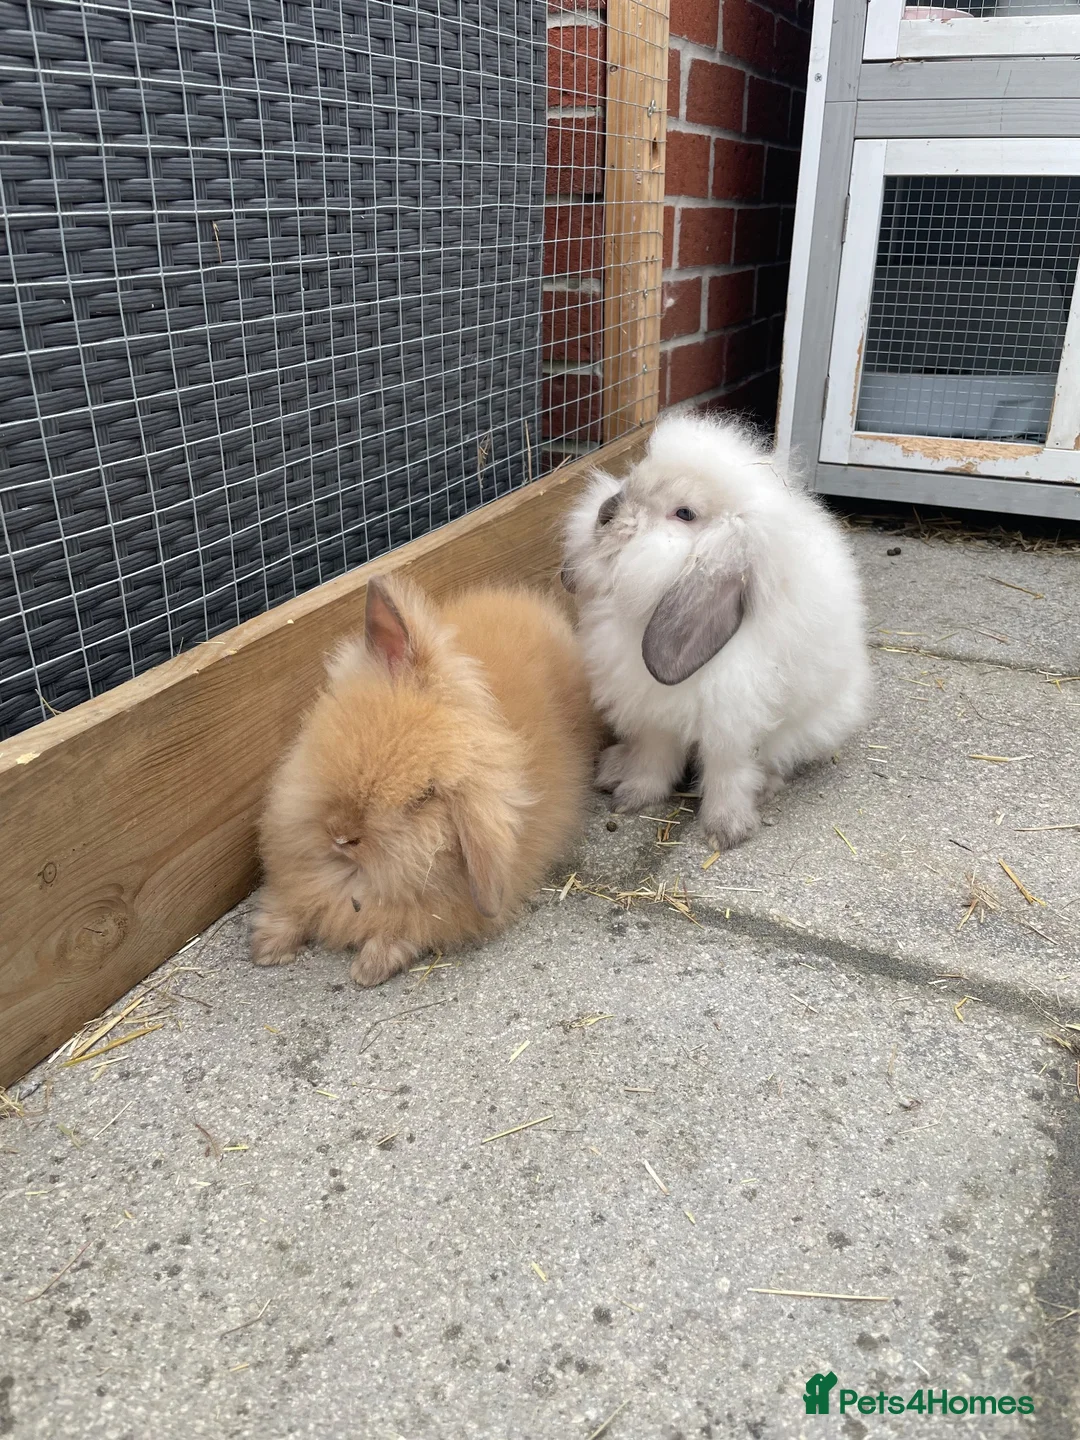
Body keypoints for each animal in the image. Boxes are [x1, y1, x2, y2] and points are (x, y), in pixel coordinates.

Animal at [250, 576, 597, 986]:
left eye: (423, 797)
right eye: (349, 733)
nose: (342, 836)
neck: (349, 875)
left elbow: (403, 932)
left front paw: (369, 969)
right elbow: (292, 905)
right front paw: (267, 948)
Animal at [561, 412, 871, 851]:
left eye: (685, 513)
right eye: (633, 476)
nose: (606, 511)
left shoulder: (732, 724)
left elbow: (729, 774)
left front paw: (725, 831)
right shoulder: (653, 716)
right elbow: (653, 760)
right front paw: (634, 797)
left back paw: (766, 787)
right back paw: (613, 768)